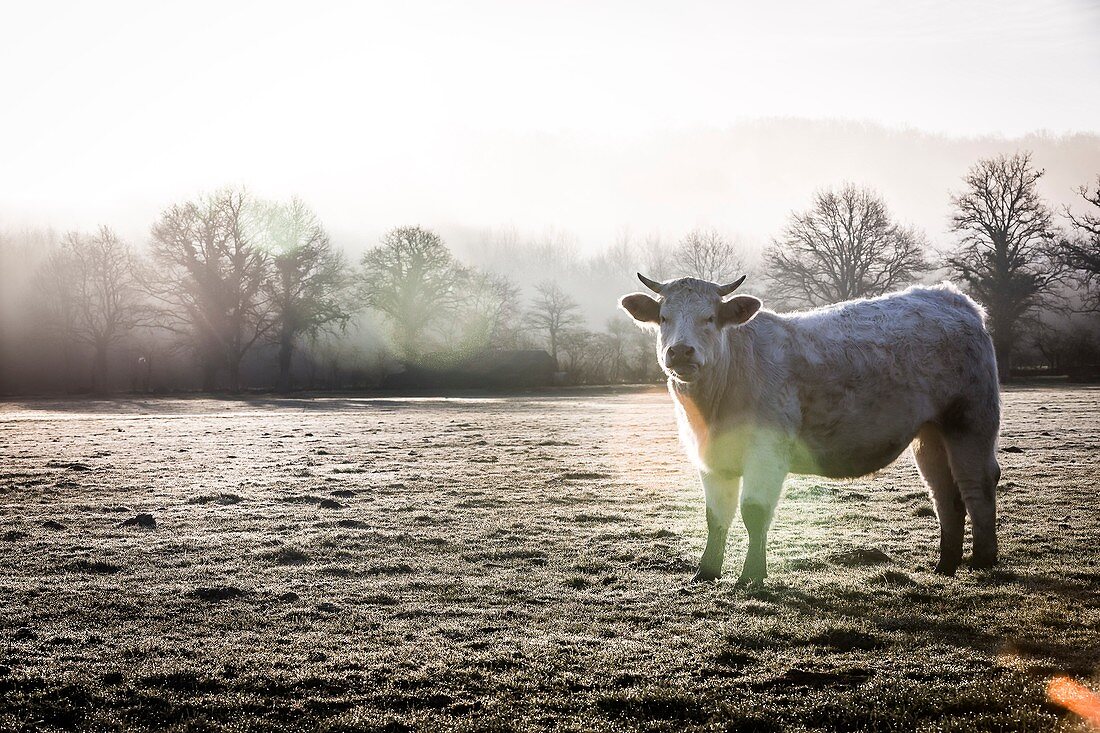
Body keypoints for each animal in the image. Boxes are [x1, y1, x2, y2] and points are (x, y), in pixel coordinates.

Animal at [624, 274, 1003, 581]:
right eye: (663, 318)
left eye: (711, 318)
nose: (681, 352)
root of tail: (952, 297)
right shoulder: (711, 458)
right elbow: (716, 516)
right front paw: (706, 572)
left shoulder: (767, 452)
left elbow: (754, 512)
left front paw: (751, 577)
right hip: (930, 433)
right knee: (944, 493)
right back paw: (945, 565)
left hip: (970, 420)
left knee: (976, 482)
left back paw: (982, 561)